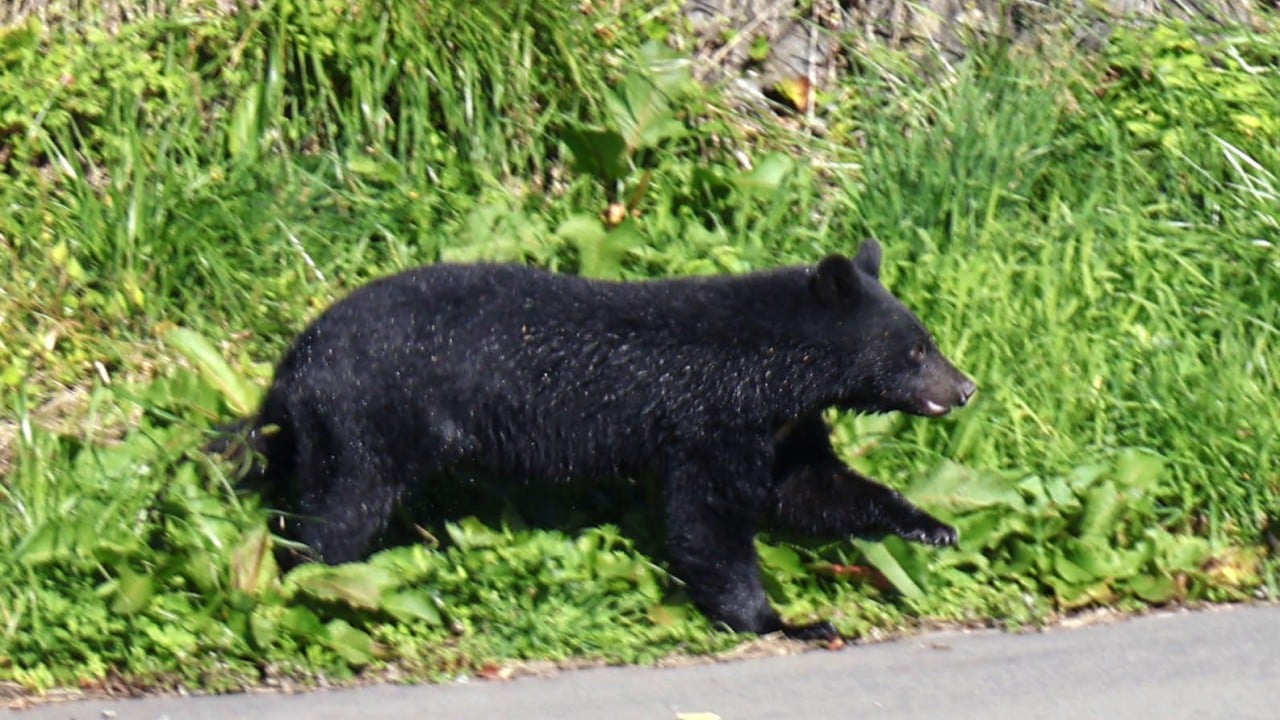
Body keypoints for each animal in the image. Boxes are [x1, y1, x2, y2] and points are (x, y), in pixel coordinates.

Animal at [242, 239, 976, 640]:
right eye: (916, 349)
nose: (965, 386)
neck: (773, 365)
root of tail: (292, 365)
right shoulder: (711, 419)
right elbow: (709, 521)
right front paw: (783, 622)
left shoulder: (781, 427)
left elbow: (811, 487)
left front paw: (931, 525)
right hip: (369, 418)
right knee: (340, 512)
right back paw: (317, 587)